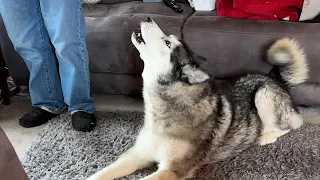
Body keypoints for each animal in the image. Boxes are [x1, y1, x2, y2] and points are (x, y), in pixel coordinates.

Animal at [87, 17, 308, 180]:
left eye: (167, 43)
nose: (148, 17)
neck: (163, 109)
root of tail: (274, 77)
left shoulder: (172, 170)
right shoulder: (137, 154)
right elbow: (100, 174)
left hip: (264, 96)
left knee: (294, 123)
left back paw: (266, 136)